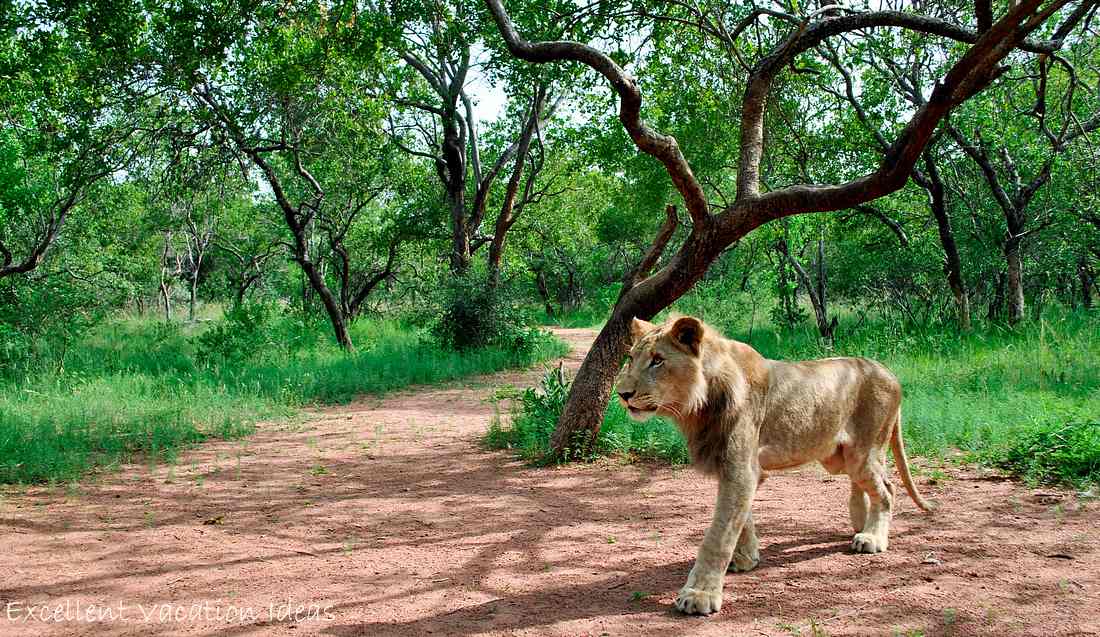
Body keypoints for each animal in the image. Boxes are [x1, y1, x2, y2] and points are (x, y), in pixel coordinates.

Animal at [616, 316, 932, 616]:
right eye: (630, 358)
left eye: (658, 360)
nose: (622, 394)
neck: (697, 406)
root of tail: (887, 370)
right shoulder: (736, 469)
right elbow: (741, 520)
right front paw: (746, 559)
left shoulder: (741, 469)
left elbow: (718, 537)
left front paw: (699, 595)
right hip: (838, 456)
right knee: (870, 483)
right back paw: (859, 523)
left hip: (862, 452)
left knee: (887, 489)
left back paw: (872, 536)